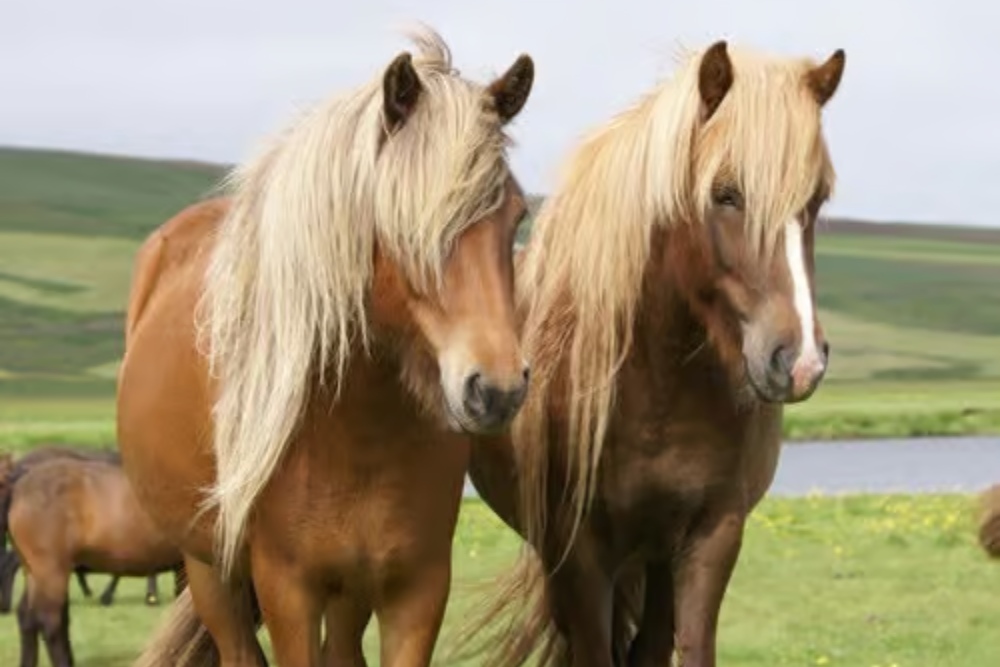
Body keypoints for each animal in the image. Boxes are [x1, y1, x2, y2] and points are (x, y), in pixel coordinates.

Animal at [116, 26, 536, 667]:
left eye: (516, 216)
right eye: (399, 225)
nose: (496, 389)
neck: (354, 430)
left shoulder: (416, 588)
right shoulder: (288, 590)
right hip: (209, 569)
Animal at [455, 40, 846, 667]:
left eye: (816, 199)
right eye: (725, 193)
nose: (800, 360)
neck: (658, 389)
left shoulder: (709, 536)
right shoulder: (581, 552)